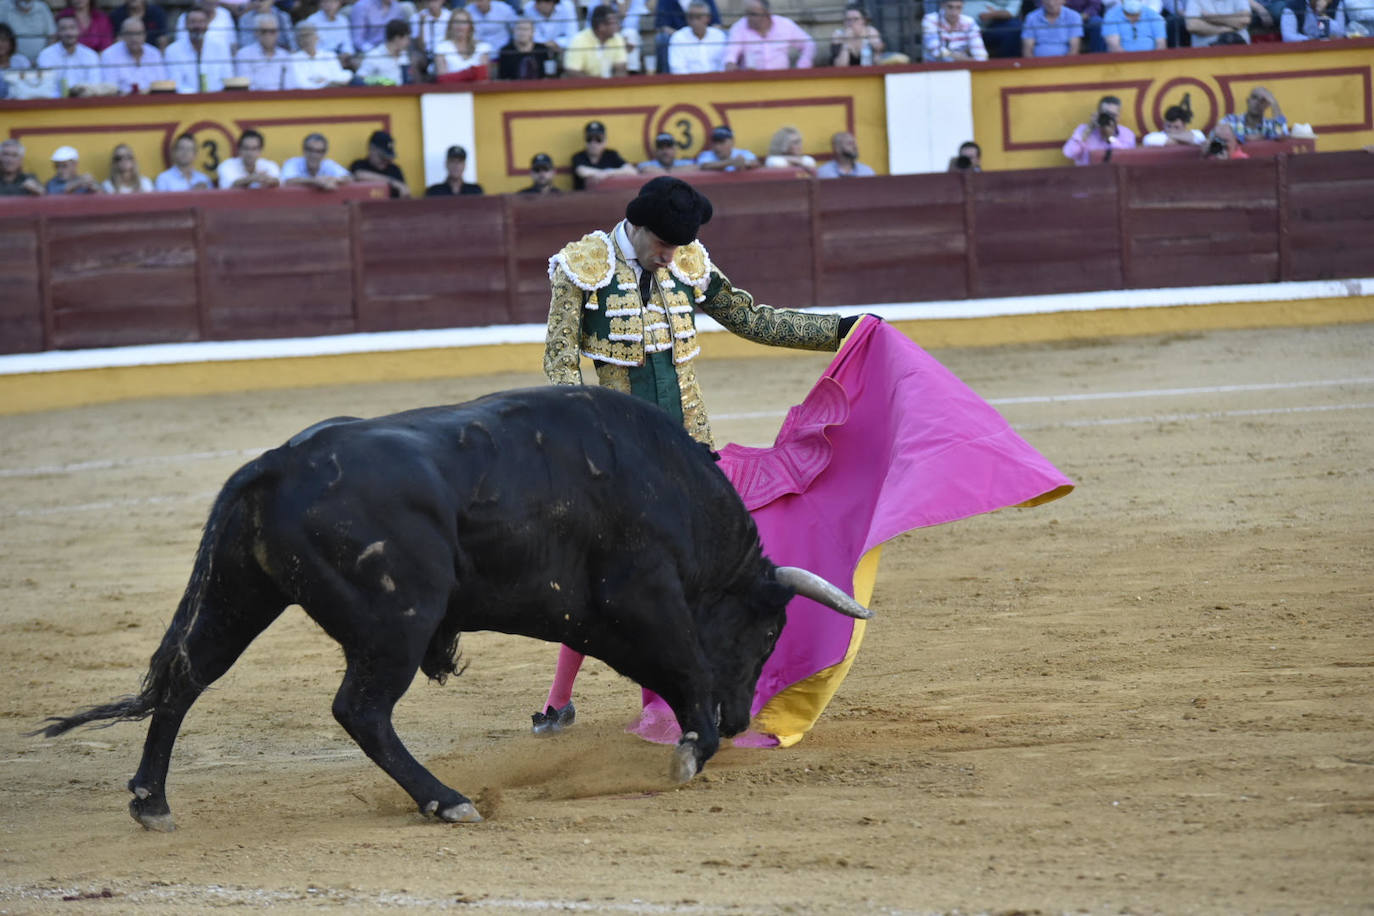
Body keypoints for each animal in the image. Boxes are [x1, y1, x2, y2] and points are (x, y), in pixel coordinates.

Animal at [40, 387, 868, 829]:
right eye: (768, 628)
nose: (741, 717)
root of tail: (272, 466)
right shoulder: (646, 597)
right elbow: (690, 665)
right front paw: (694, 748)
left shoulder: (605, 620)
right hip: (395, 622)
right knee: (361, 710)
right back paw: (448, 801)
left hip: (241, 595)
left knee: (185, 679)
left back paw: (151, 802)